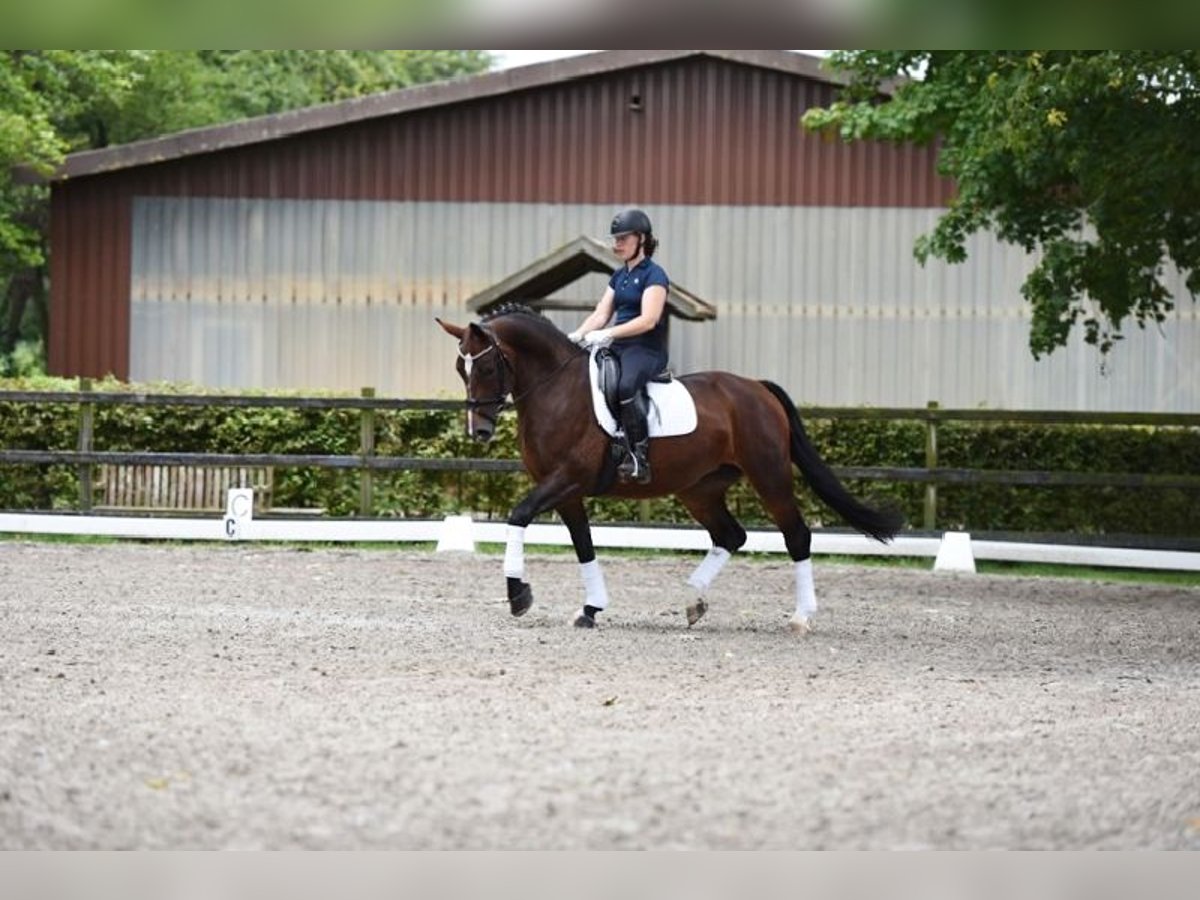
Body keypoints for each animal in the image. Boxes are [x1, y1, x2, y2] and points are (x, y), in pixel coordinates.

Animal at [439, 307, 902, 628]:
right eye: (461, 368)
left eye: (486, 365)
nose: (479, 431)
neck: (556, 389)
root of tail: (756, 388)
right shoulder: (565, 491)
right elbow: (584, 546)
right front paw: (590, 609)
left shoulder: (566, 479)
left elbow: (517, 516)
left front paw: (518, 594)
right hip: (699, 488)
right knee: (730, 535)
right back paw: (693, 601)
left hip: (769, 476)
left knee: (797, 535)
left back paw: (802, 616)